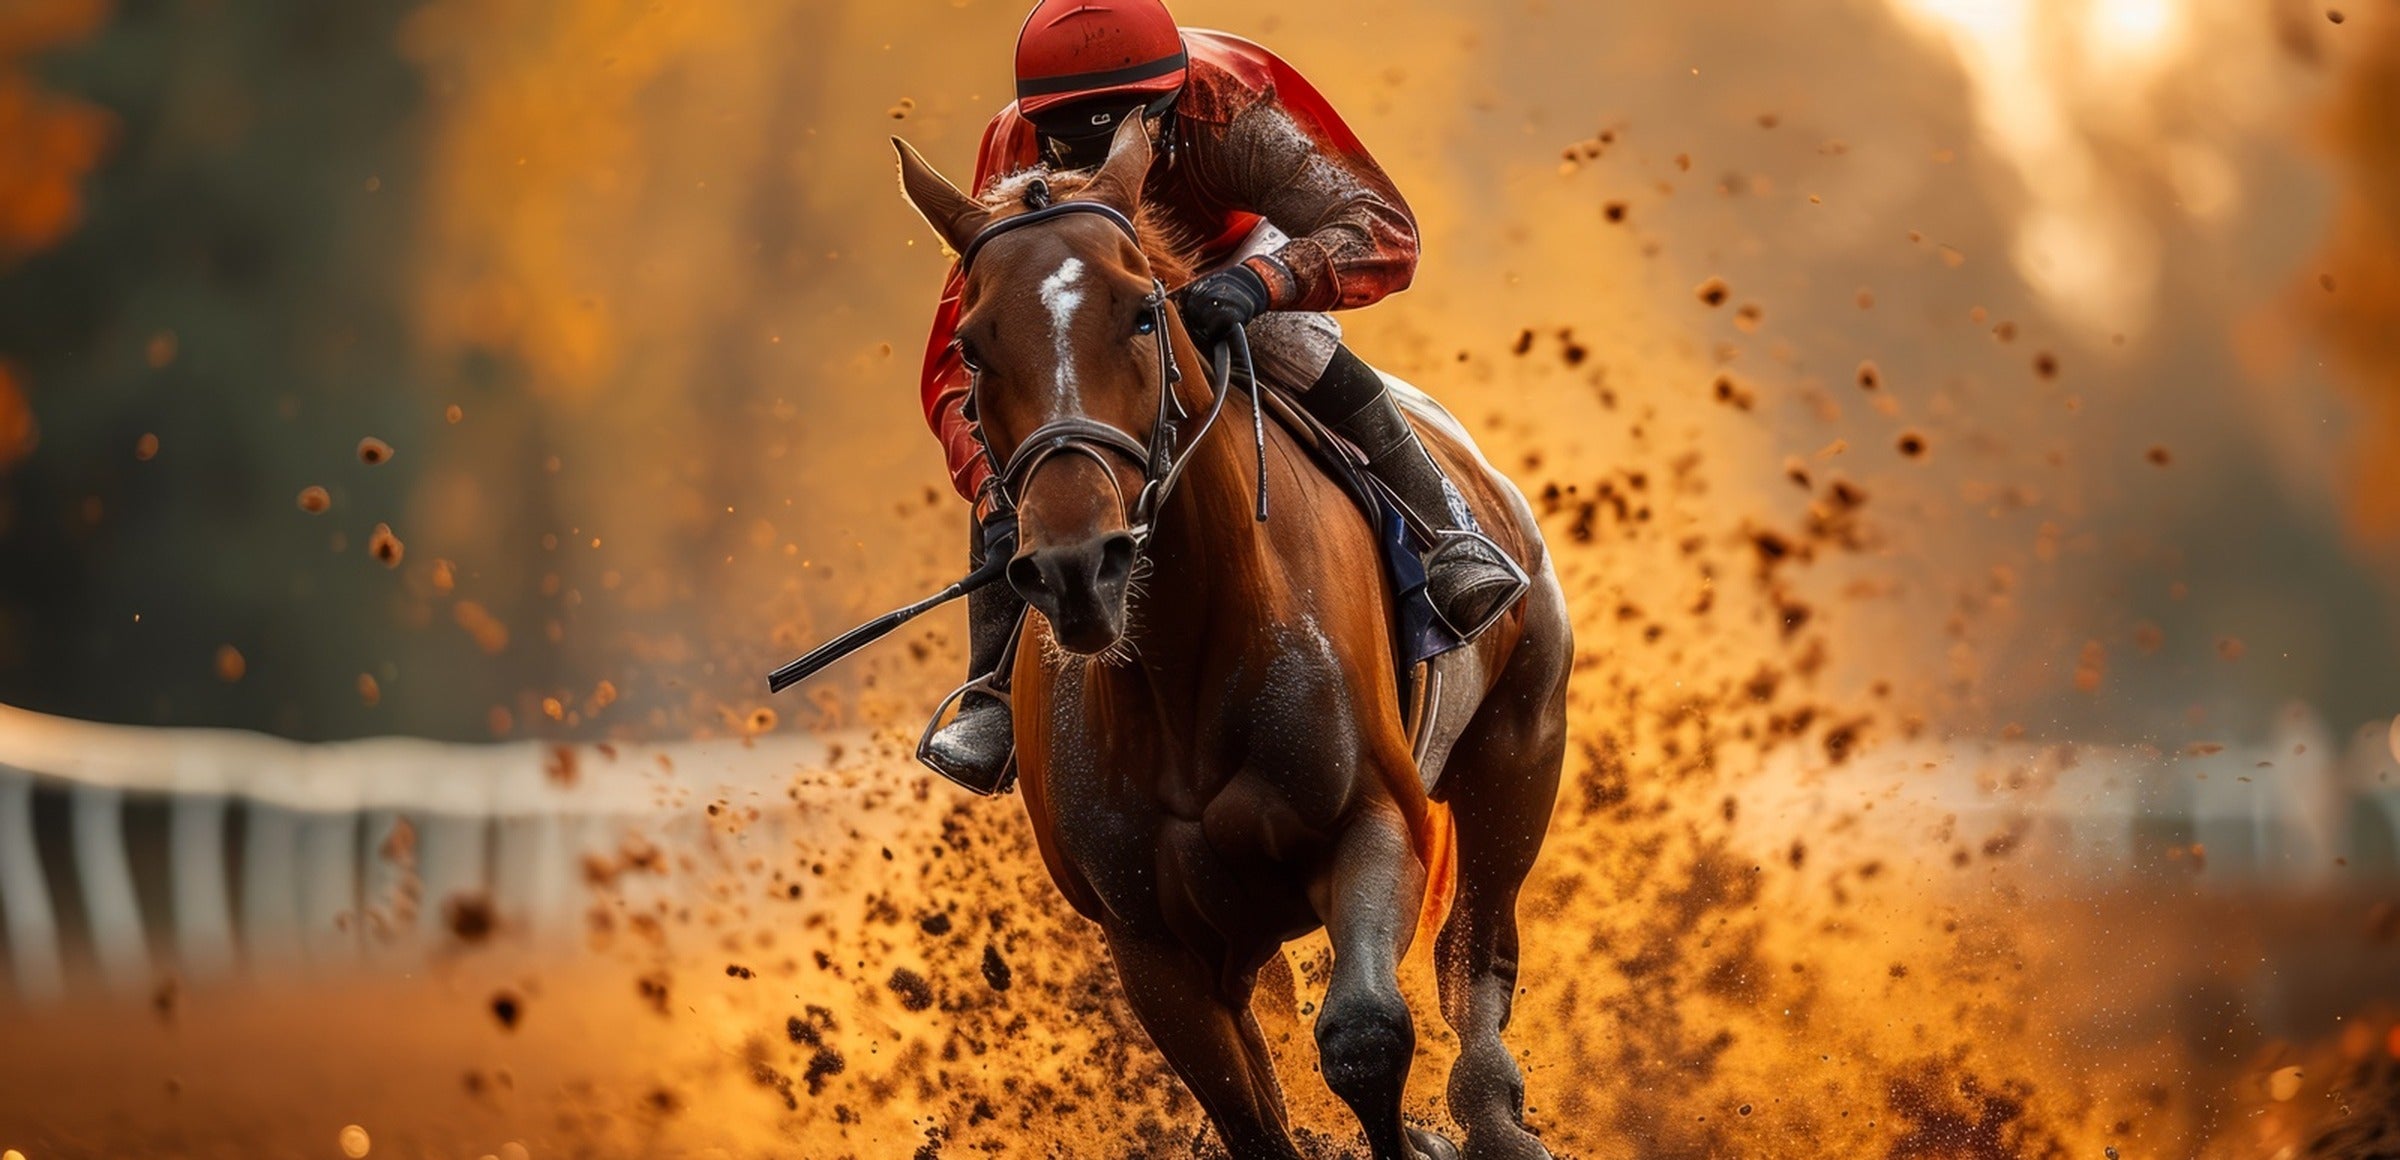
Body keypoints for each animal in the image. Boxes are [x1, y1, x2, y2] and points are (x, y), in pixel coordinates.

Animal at [894, 116, 1571, 1160]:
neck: (1180, 670)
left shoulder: (1377, 819)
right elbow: (1251, 1114)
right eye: (971, 346)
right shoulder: (1148, 940)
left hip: (1518, 750)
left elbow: (1365, 1035)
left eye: (1143, 313)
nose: (1078, 563)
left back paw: (1493, 1114)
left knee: (1478, 944)